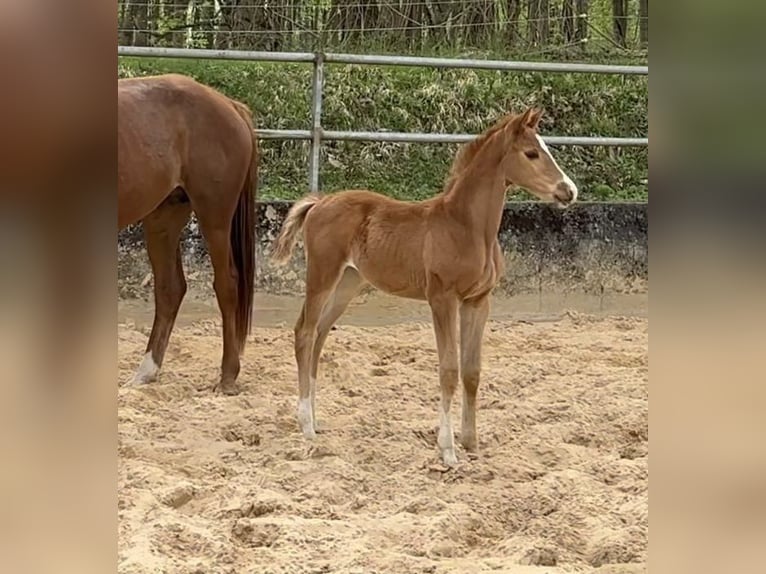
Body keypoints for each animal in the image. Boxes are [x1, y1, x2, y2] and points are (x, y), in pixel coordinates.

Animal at [118, 75, 260, 396]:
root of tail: (230, 105)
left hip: (214, 217)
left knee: (227, 284)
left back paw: (227, 376)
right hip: (164, 217)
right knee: (170, 289)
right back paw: (145, 372)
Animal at [272, 108, 580, 468]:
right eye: (531, 153)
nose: (569, 191)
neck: (466, 227)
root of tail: (320, 203)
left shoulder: (478, 301)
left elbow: (471, 371)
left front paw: (471, 442)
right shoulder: (442, 299)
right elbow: (448, 369)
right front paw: (447, 450)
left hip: (348, 281)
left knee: (320, 333)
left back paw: (316, 418)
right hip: (322, 275)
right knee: (305, 332)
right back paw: (306, 425)